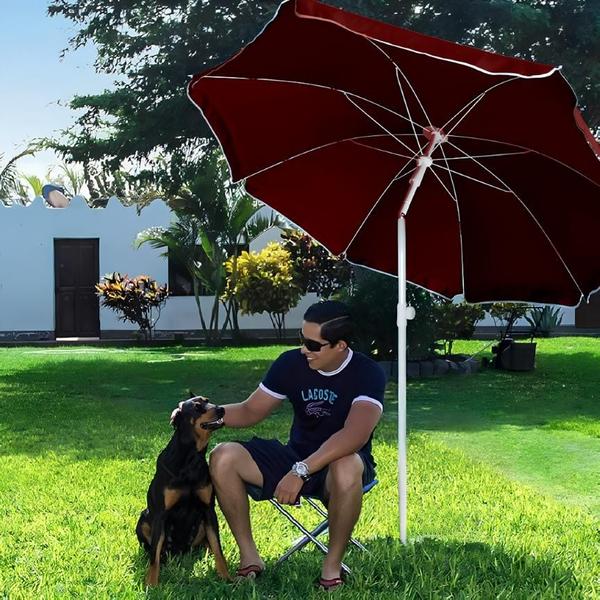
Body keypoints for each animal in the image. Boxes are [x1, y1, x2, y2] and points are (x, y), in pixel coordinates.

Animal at [136, 396, 230, 588]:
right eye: (197, 407)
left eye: (208, 400)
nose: (222, 409)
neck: (191, 457)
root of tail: (178, 552)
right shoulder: (160, 514)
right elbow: (154, 555)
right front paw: (151, 583)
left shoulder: (208, 510)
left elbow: (218, 546)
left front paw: (226, 577)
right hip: (144, 517)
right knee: (152, 548)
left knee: (206, 544)